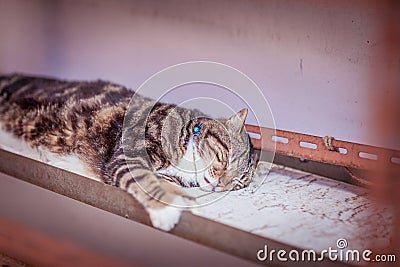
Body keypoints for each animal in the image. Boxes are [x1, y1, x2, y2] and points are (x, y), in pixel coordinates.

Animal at [0, 74, 255, 232]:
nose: (221, 184)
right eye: (227, 157)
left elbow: (168, 183)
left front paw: (185, 199)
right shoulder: (128, 156)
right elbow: (146, 180)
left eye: (239, 182)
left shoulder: (169, 176)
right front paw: (166, 210)